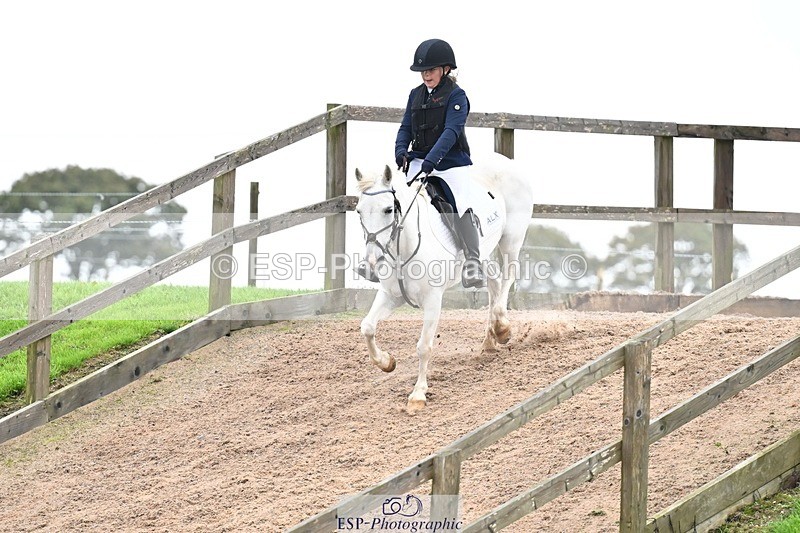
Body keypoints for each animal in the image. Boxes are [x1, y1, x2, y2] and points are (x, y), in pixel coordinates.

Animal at [354, 152, 534, 413]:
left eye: (388, 209)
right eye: (359, 211)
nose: (368, 265)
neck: (403, 246)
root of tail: (506, 161)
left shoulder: (432, 301)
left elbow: (424, 346)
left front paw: (418, 394)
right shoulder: (390, 295)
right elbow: (368, 327)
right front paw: (387, 362)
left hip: (511, 238)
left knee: (509, 275)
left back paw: (502, 328)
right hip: (483, 253)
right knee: (493, 281)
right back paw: (490, 340)